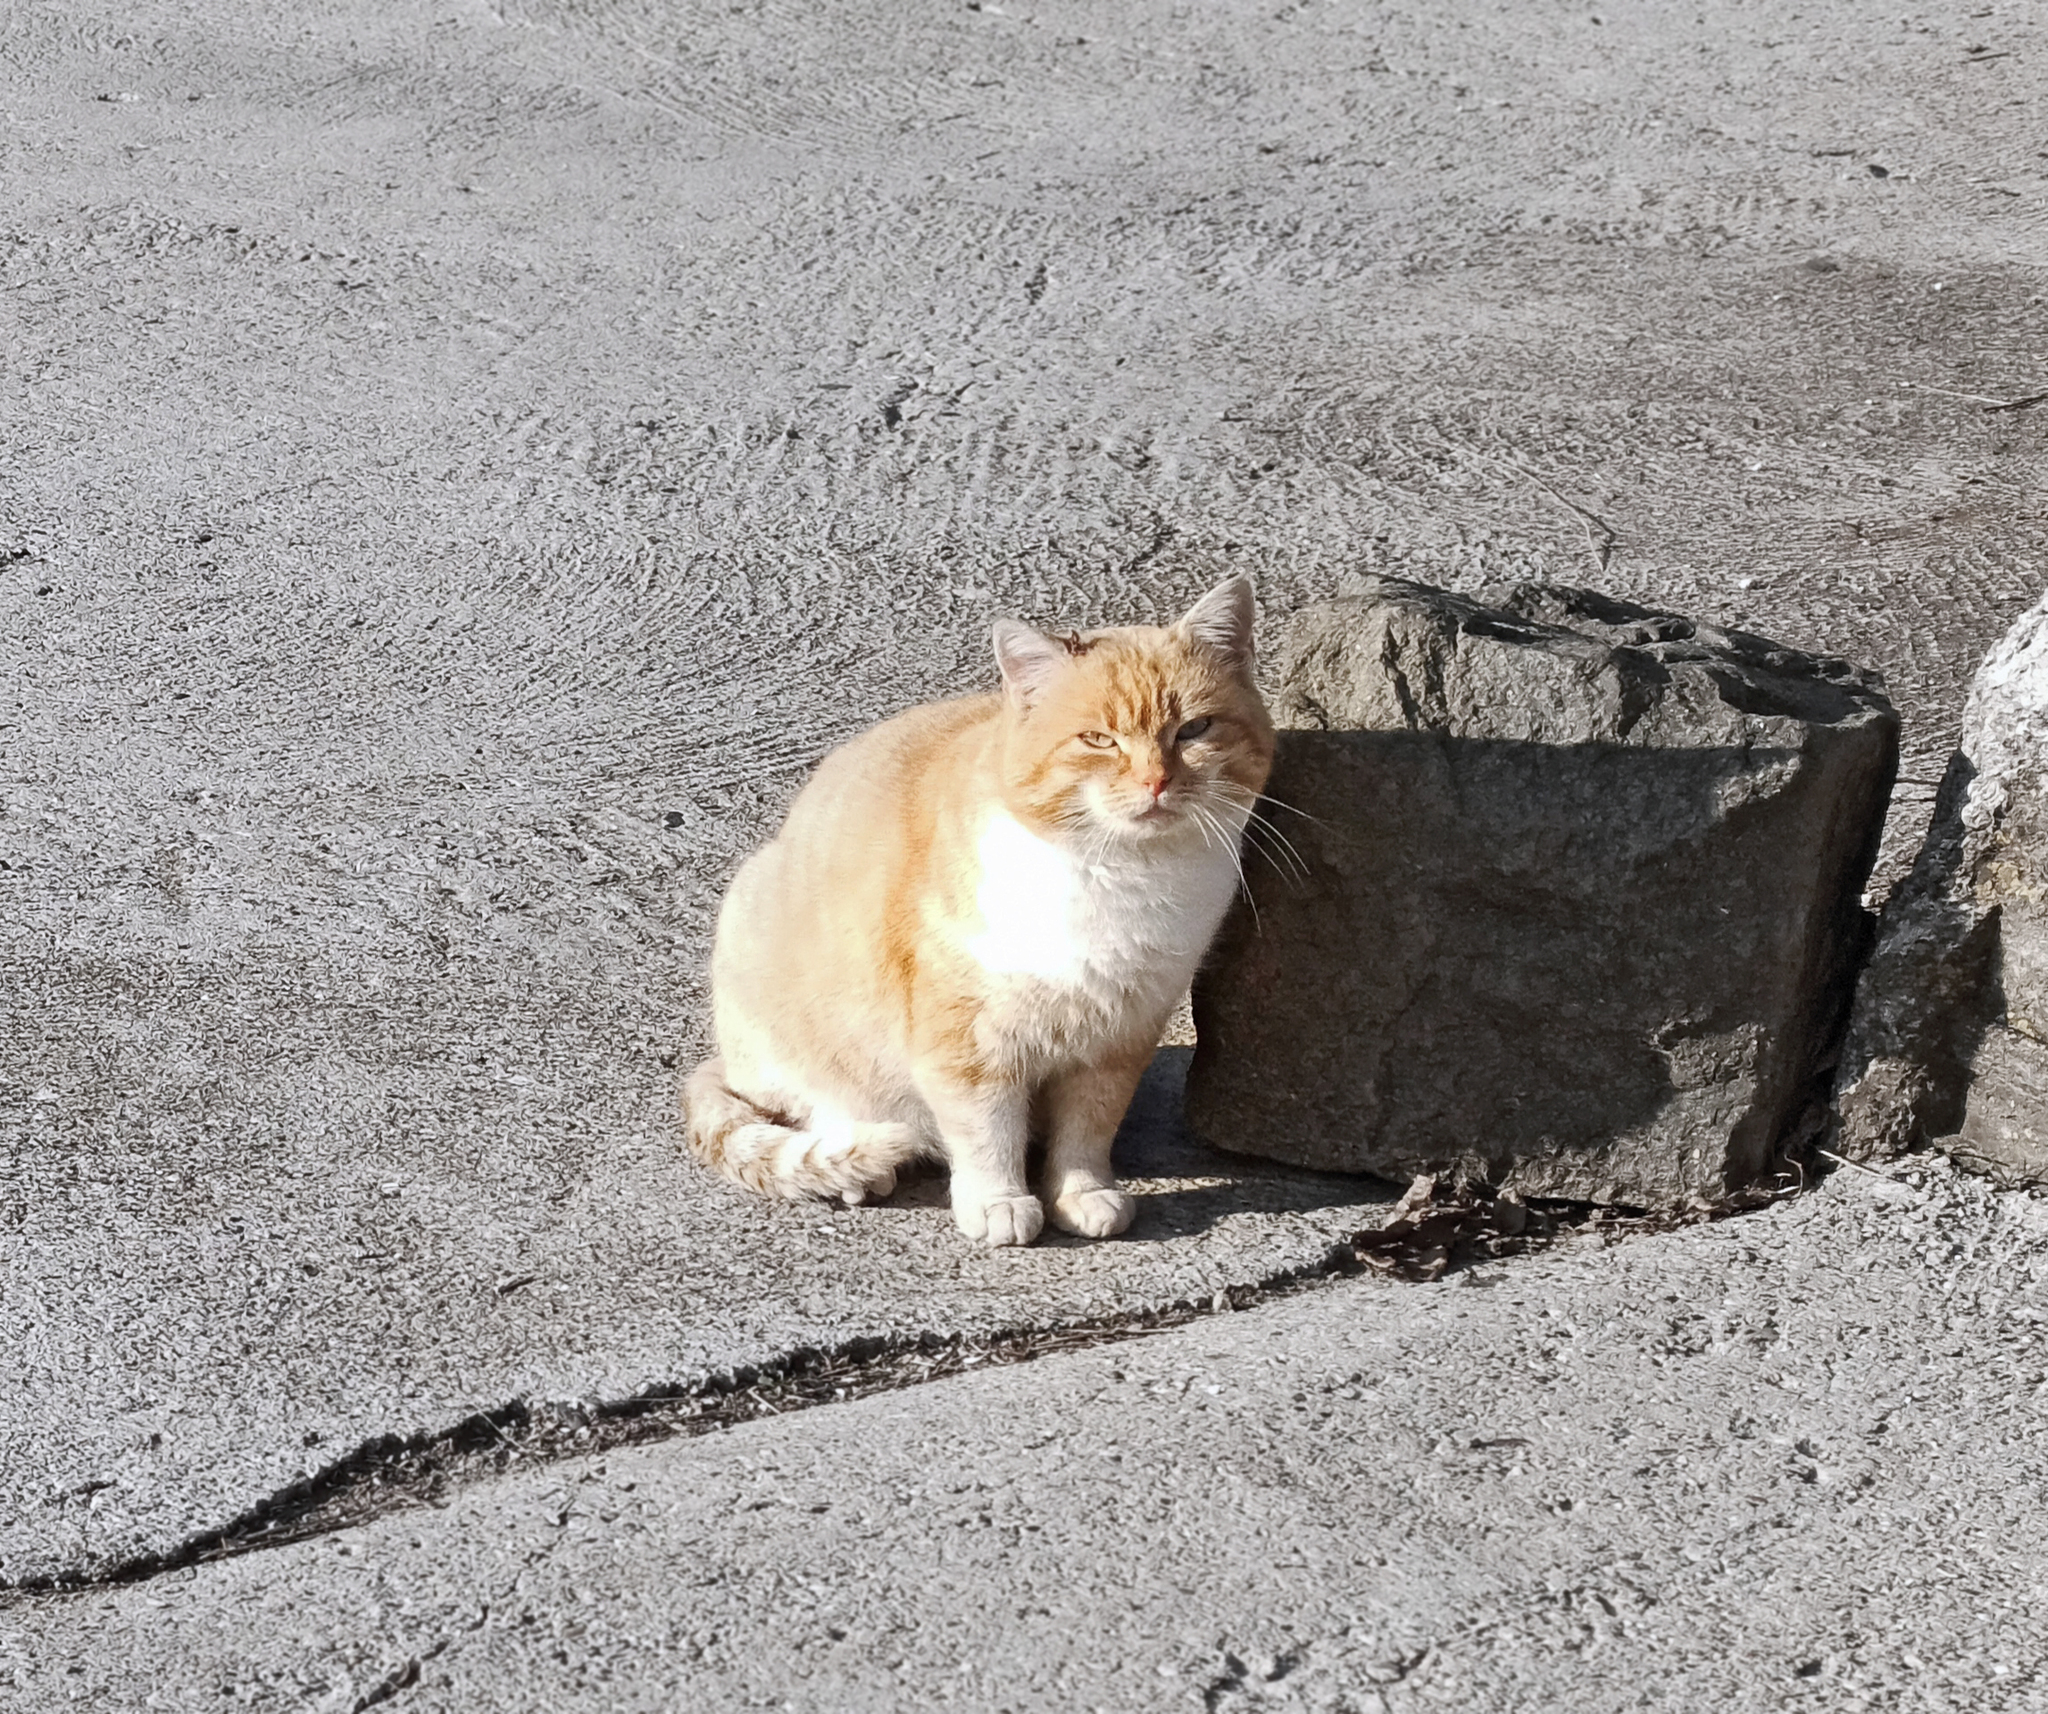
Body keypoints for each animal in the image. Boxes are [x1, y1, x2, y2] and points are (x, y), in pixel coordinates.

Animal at [679, 577, 1269, 1245]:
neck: (1121, 878)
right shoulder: (967, 1037)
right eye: (1098, 740)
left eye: (1194, 729)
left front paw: (1083, 1193)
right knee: (822, 1111)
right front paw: (998, 1203)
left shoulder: (1120, 1037)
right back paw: (863, 1169)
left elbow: (1088, 1127)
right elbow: (985, 1128)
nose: (1156, 783)